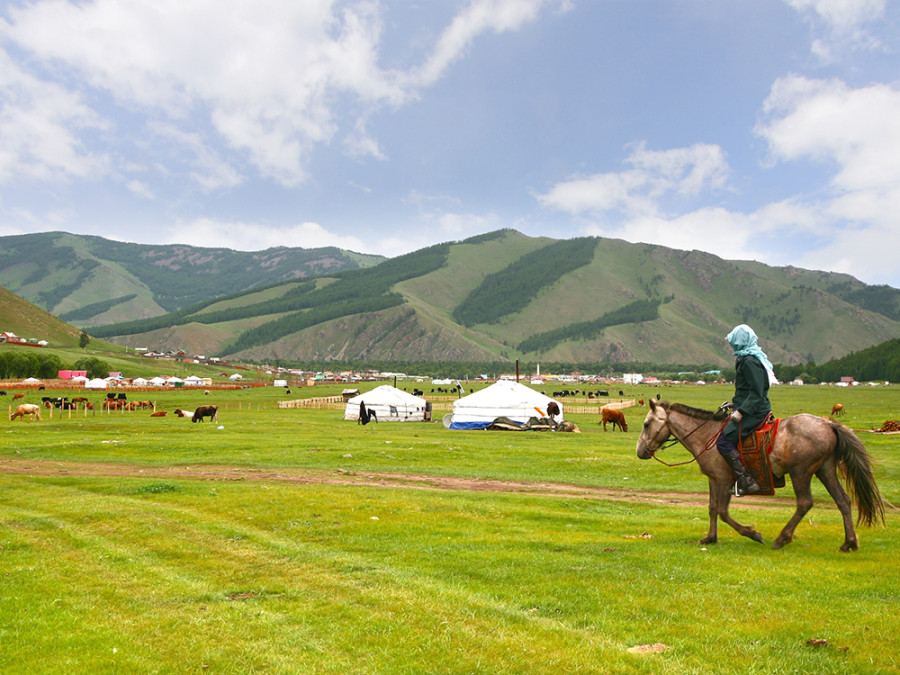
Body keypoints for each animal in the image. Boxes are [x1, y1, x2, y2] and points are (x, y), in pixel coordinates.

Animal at [636, 398, 884, 552]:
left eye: (647, 424)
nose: (640, 451)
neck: (707, 435)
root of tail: (828, 424)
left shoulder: (724, 479)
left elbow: (722, 511)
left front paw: (753, 533)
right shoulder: (714, 479)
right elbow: (712, 509)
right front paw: (710, 538)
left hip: (801, 472)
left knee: (805, 502)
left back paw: (782, 539)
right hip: (825, 470)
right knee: (843, 501)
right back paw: (848, 543)